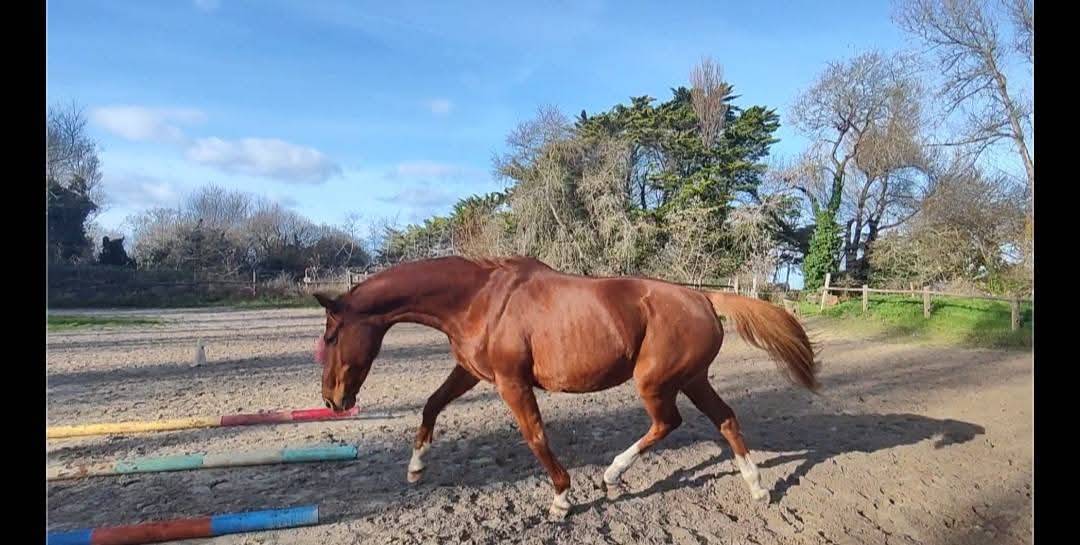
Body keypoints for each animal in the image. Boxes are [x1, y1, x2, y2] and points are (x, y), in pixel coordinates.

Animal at [313, 256, 819, 518]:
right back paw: (757, 489)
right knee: (726, 420)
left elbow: (535, 436)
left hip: (656, 382)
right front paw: (416, 468)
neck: (479, 300)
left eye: (332, 335)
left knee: (667, 423)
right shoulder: (472, 372)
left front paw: (560, 497)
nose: (332, 400)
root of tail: (703, 296)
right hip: (692, 379)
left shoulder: (512, 383)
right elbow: (431, 405)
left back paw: (612, 475)